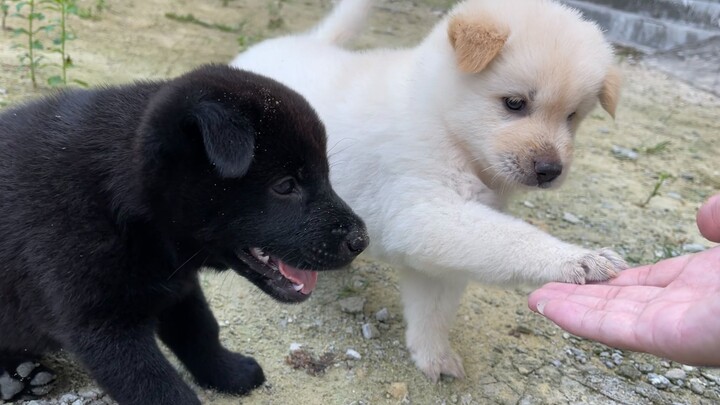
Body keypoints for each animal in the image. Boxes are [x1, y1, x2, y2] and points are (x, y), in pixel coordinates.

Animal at [0, 64, 368, 402]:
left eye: (325, 176)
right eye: (285, 185)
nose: (361, 241)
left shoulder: (177, 285)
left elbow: (201, 331)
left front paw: (229, 372)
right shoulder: (104, 326)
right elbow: (158, 387)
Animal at [231, 0, 624, 380]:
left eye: (572, 116)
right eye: (514, 103)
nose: (550, 170)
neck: (443, 121)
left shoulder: (438, 255)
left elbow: (434, 311)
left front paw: (434, 356)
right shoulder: (425, 212)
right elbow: (512, 239)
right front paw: (577, 259)